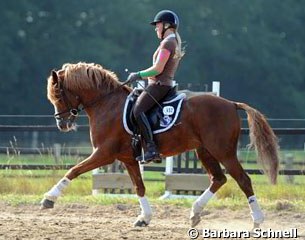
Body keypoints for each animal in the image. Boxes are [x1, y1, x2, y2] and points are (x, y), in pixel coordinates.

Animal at [42, 62, 278, 229]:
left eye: (58, 95)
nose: (62, 124)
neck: (107, 104)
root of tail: (230, 104)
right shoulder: (128, 159)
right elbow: (139, 186)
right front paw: (144, 218)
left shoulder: (104, 153)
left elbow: (74, 170)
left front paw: (48, 199)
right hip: (205, 151)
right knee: (218, 179)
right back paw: (195, 213)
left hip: (223, 151)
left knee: (243, 180)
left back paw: (257, 220)